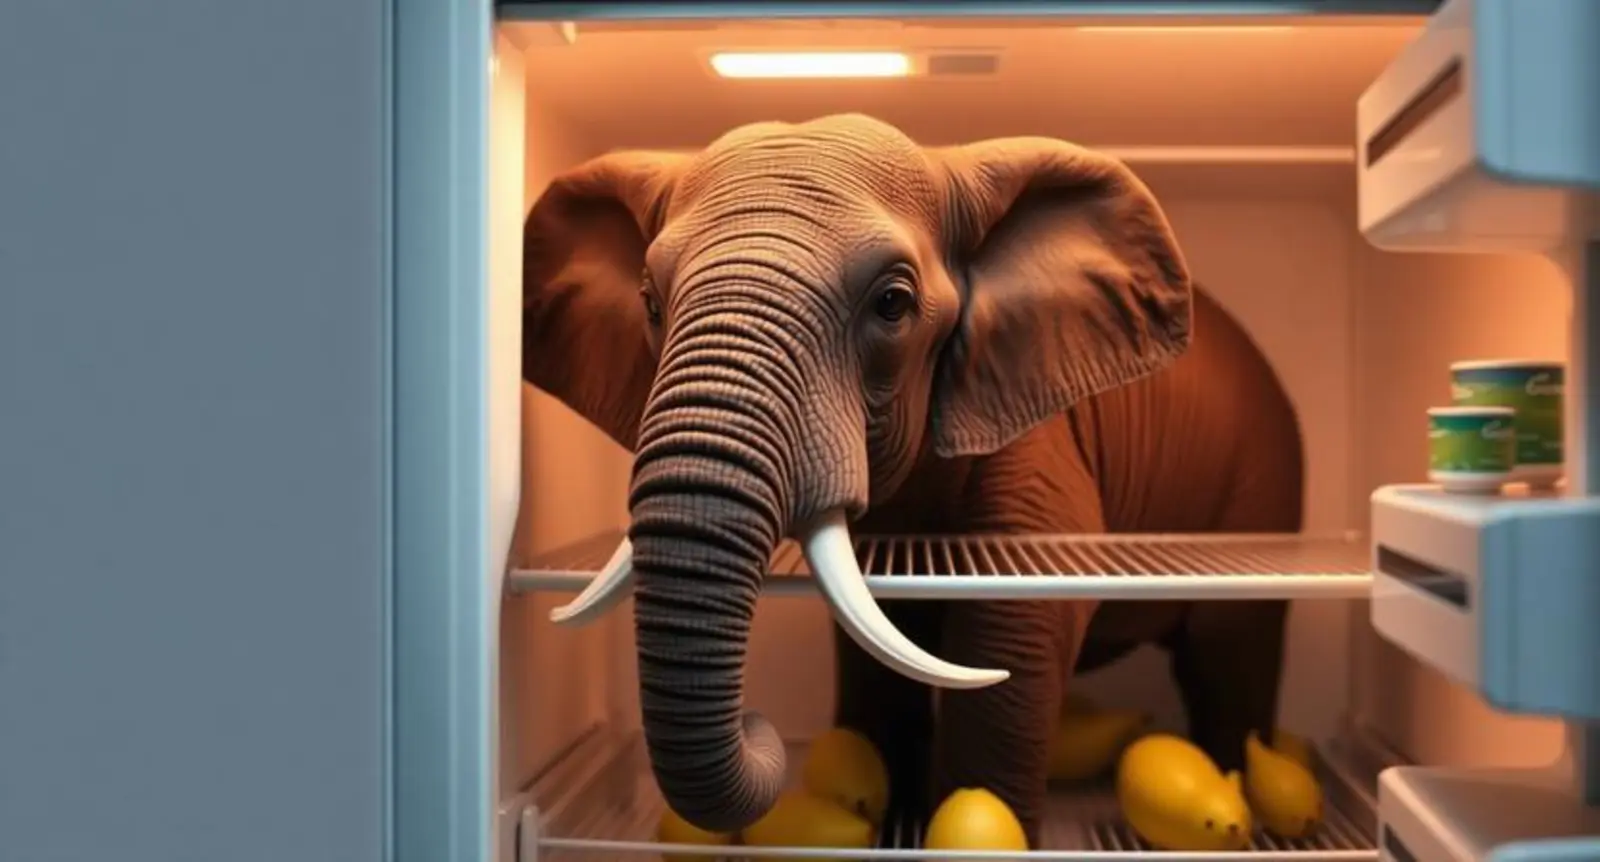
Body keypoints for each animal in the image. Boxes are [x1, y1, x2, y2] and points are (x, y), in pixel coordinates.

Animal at [519, 112, 1304, 846]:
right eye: (651, 303)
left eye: (892, 304)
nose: (762, 726)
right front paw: (888, 812)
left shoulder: (1030, 436)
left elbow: (1012, 628)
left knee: (1228, 654)